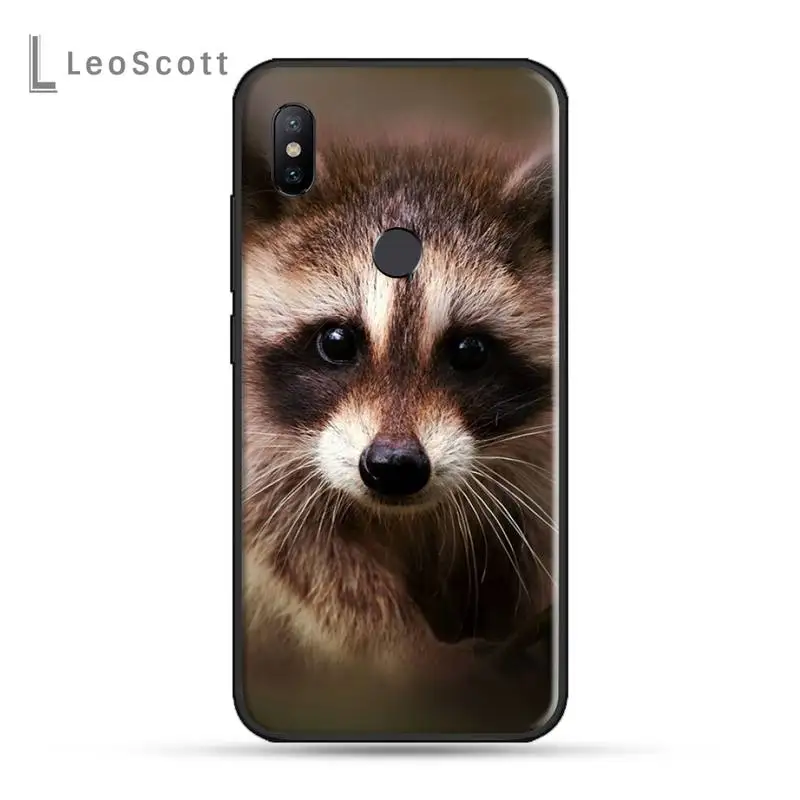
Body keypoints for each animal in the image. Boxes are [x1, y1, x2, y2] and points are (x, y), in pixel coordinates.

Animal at [241, 140, 557, 692]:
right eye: (337, 341)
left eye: (470, 350)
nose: (394, 467)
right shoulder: (262, 460)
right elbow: (304, 560)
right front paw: (412, 655)